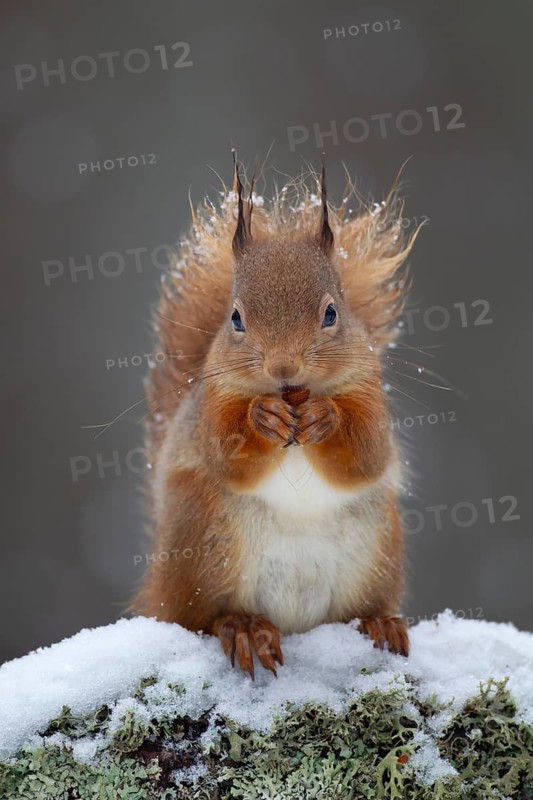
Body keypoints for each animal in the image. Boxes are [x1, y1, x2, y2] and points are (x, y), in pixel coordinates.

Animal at [131, 156, 420, 680]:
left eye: (331, 313)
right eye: (236, 319)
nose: (284, 368)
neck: (294, 398)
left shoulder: (368, 392)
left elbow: (367, 453)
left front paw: (327, 417)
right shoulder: (211, 406)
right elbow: (226, 452)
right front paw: (261, 417)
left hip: (375, 548)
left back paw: (378, 622)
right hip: (208, 540)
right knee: (201, 617)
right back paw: (243, 627)